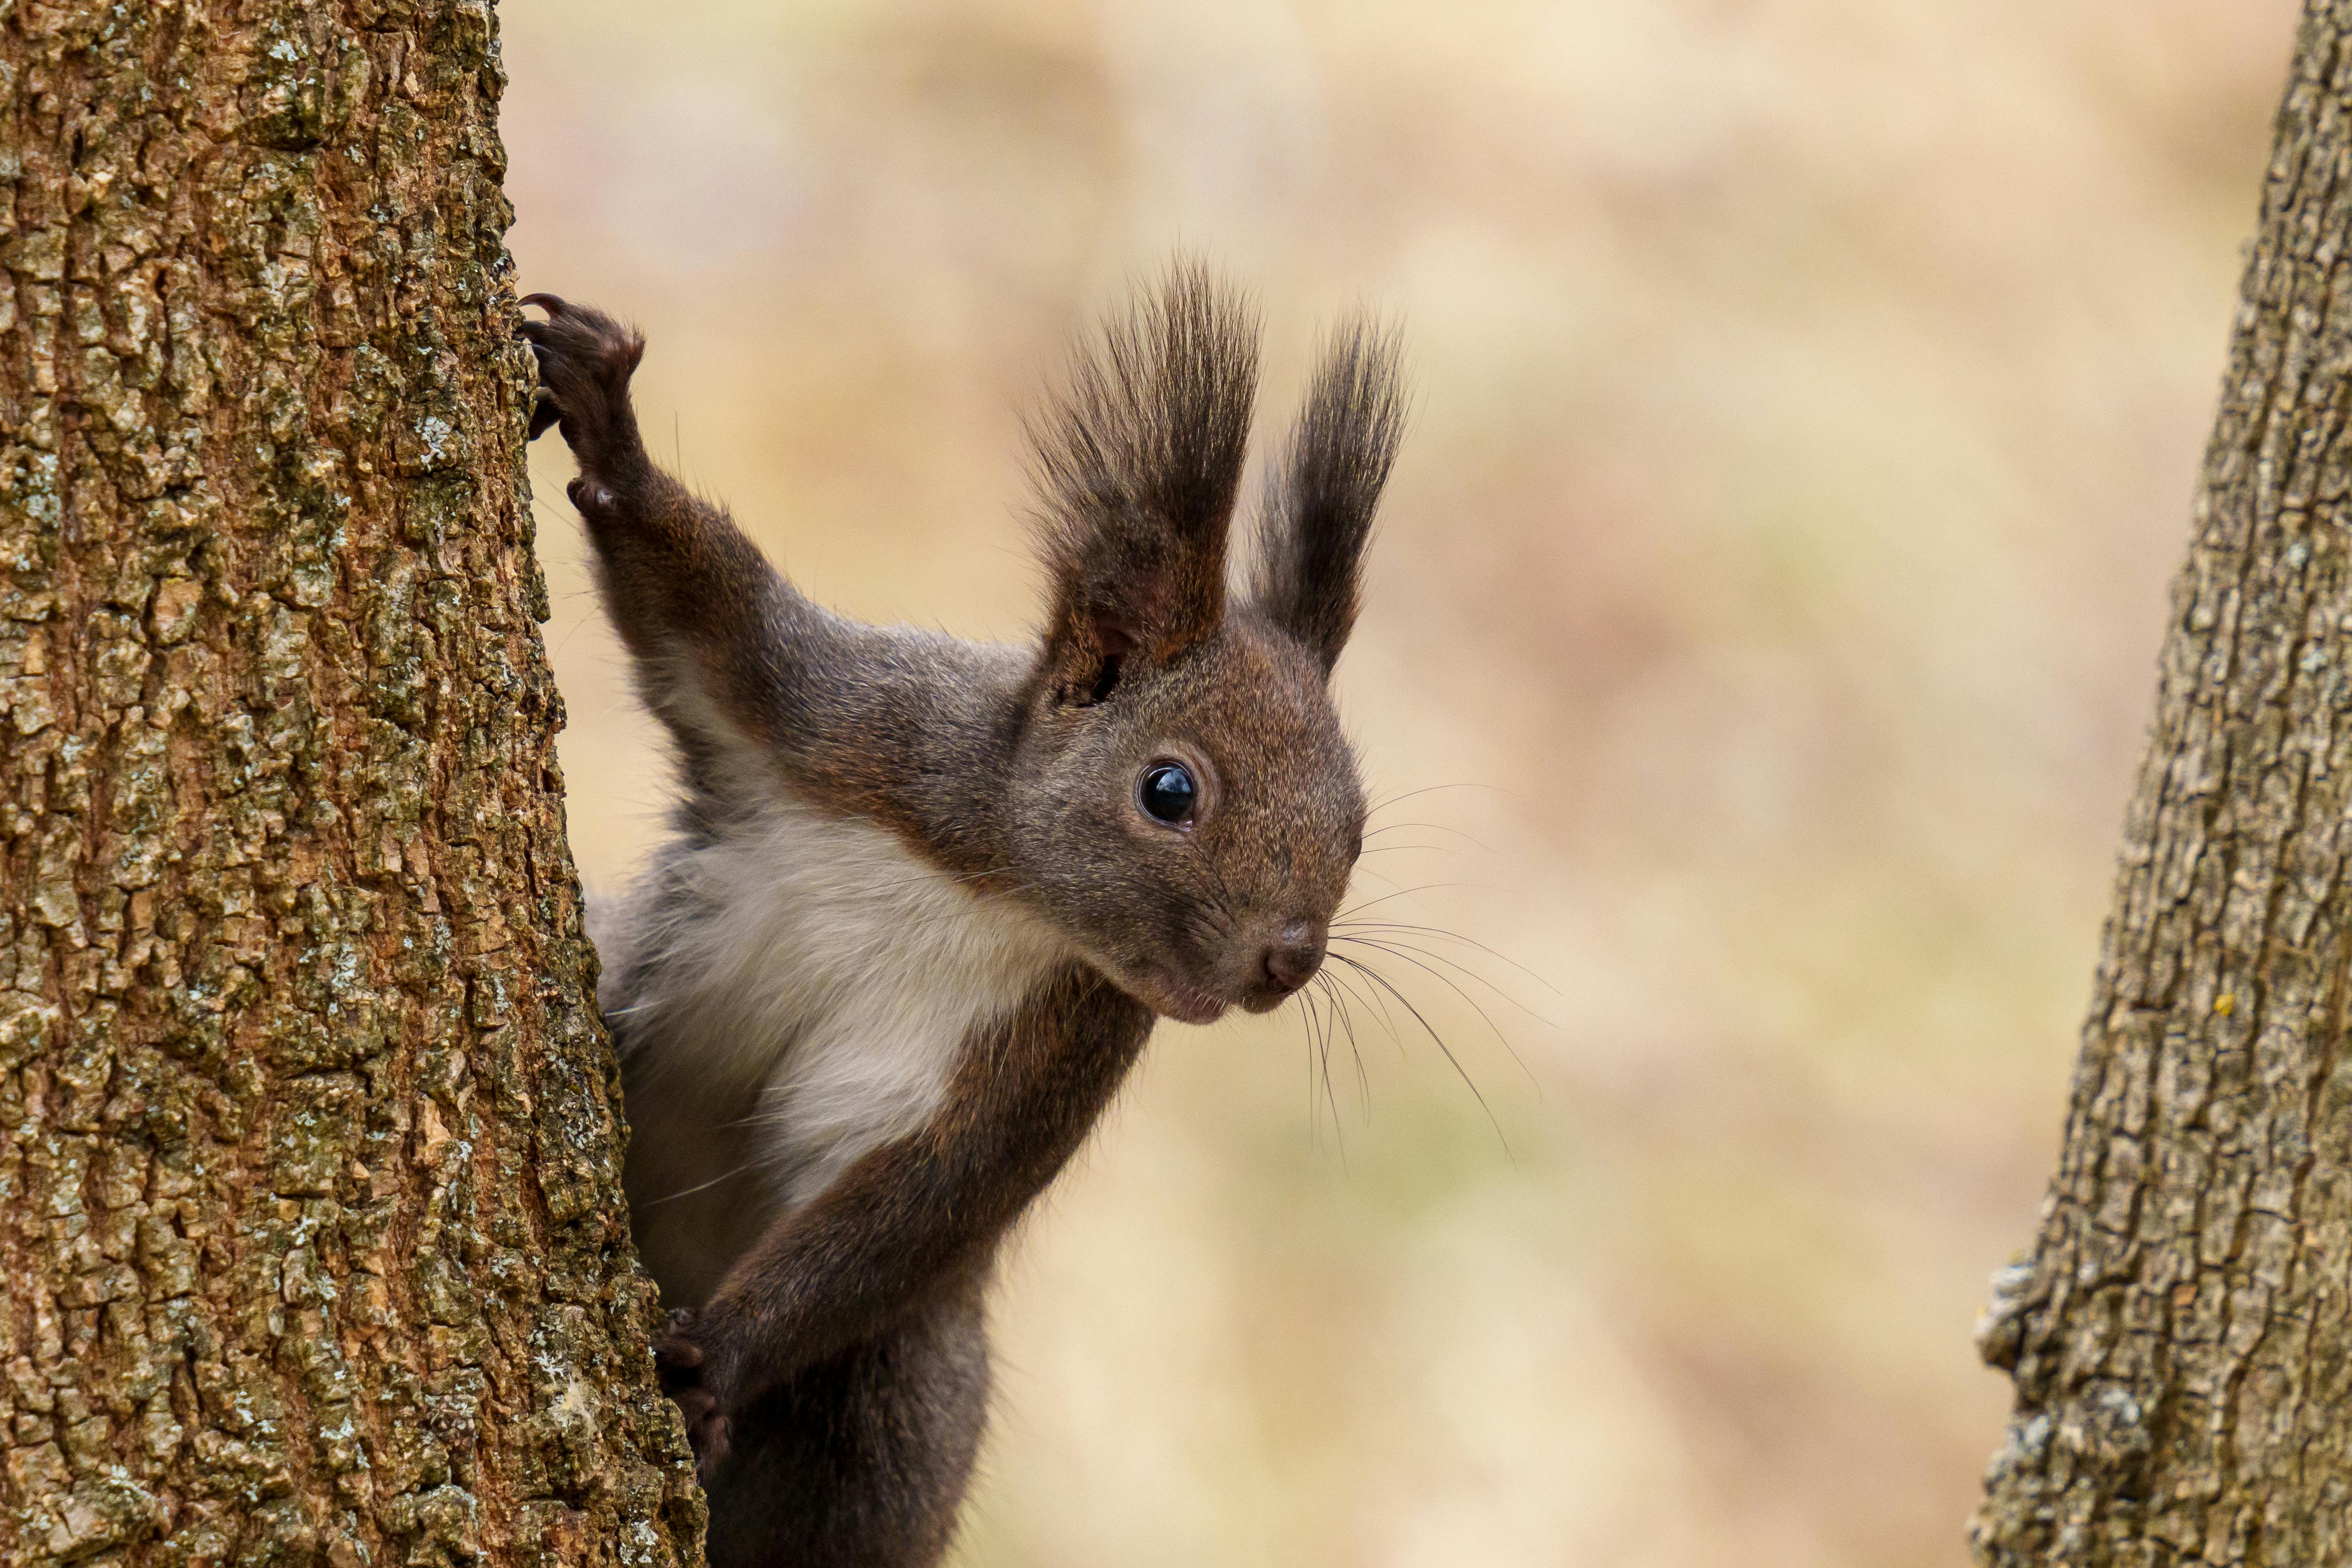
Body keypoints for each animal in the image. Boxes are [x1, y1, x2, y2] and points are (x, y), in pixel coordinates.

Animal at [521, 263, 1403, 1568]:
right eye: (1170, 790)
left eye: (1357, 820)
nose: (1288, 959)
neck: (991, 890)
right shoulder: (845, 728)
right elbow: (703, 613)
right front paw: (607, 422)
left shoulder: (1049, 1054)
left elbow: (910, 1212)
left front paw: (714, 1359)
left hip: (892, 1414)